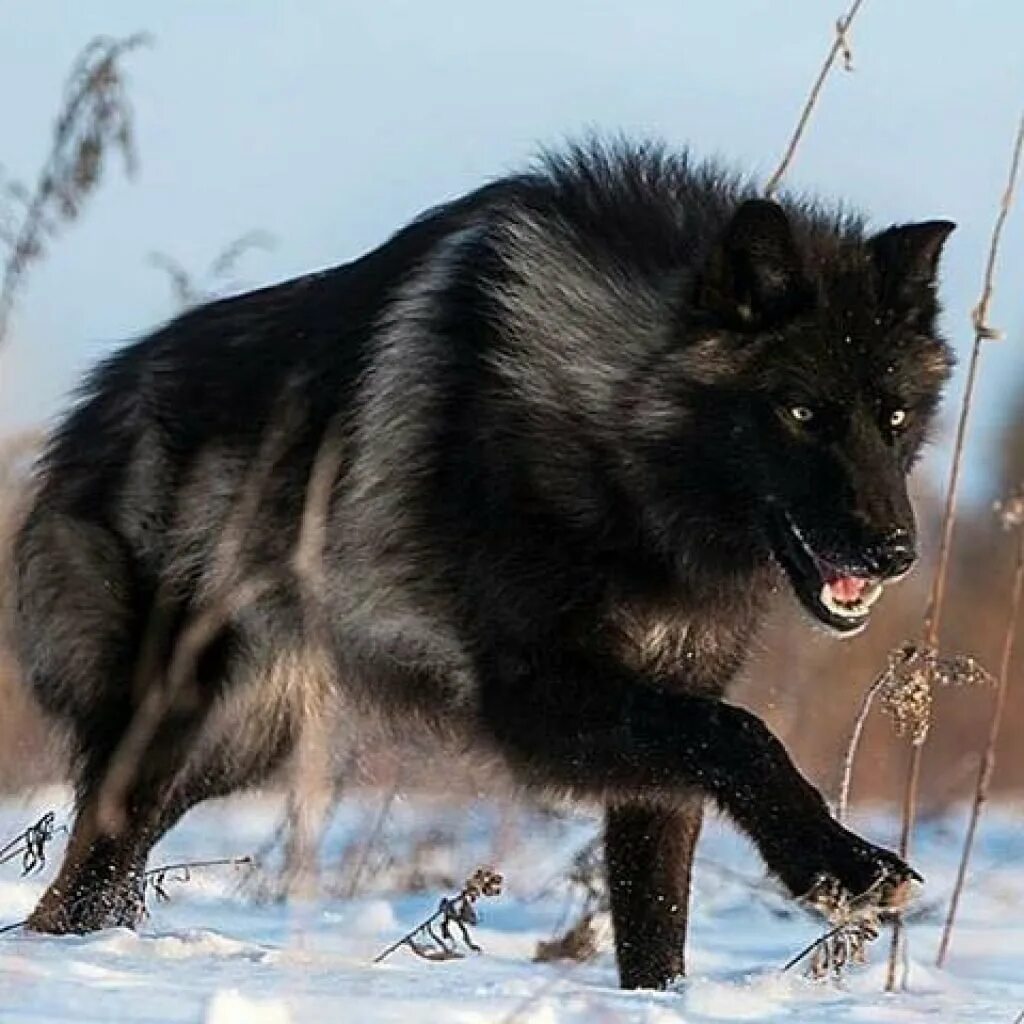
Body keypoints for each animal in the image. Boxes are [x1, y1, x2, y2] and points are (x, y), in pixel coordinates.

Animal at [12, 140, 950, 987]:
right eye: (800, 412)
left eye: (896, 417)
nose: (895, 551)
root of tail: (93, 406)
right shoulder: (535, 697)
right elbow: (745, 734)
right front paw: (847, 871)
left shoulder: (668, 720)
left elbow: (657, 918)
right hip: (177, 722)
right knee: (83, 879)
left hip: (238, 744)